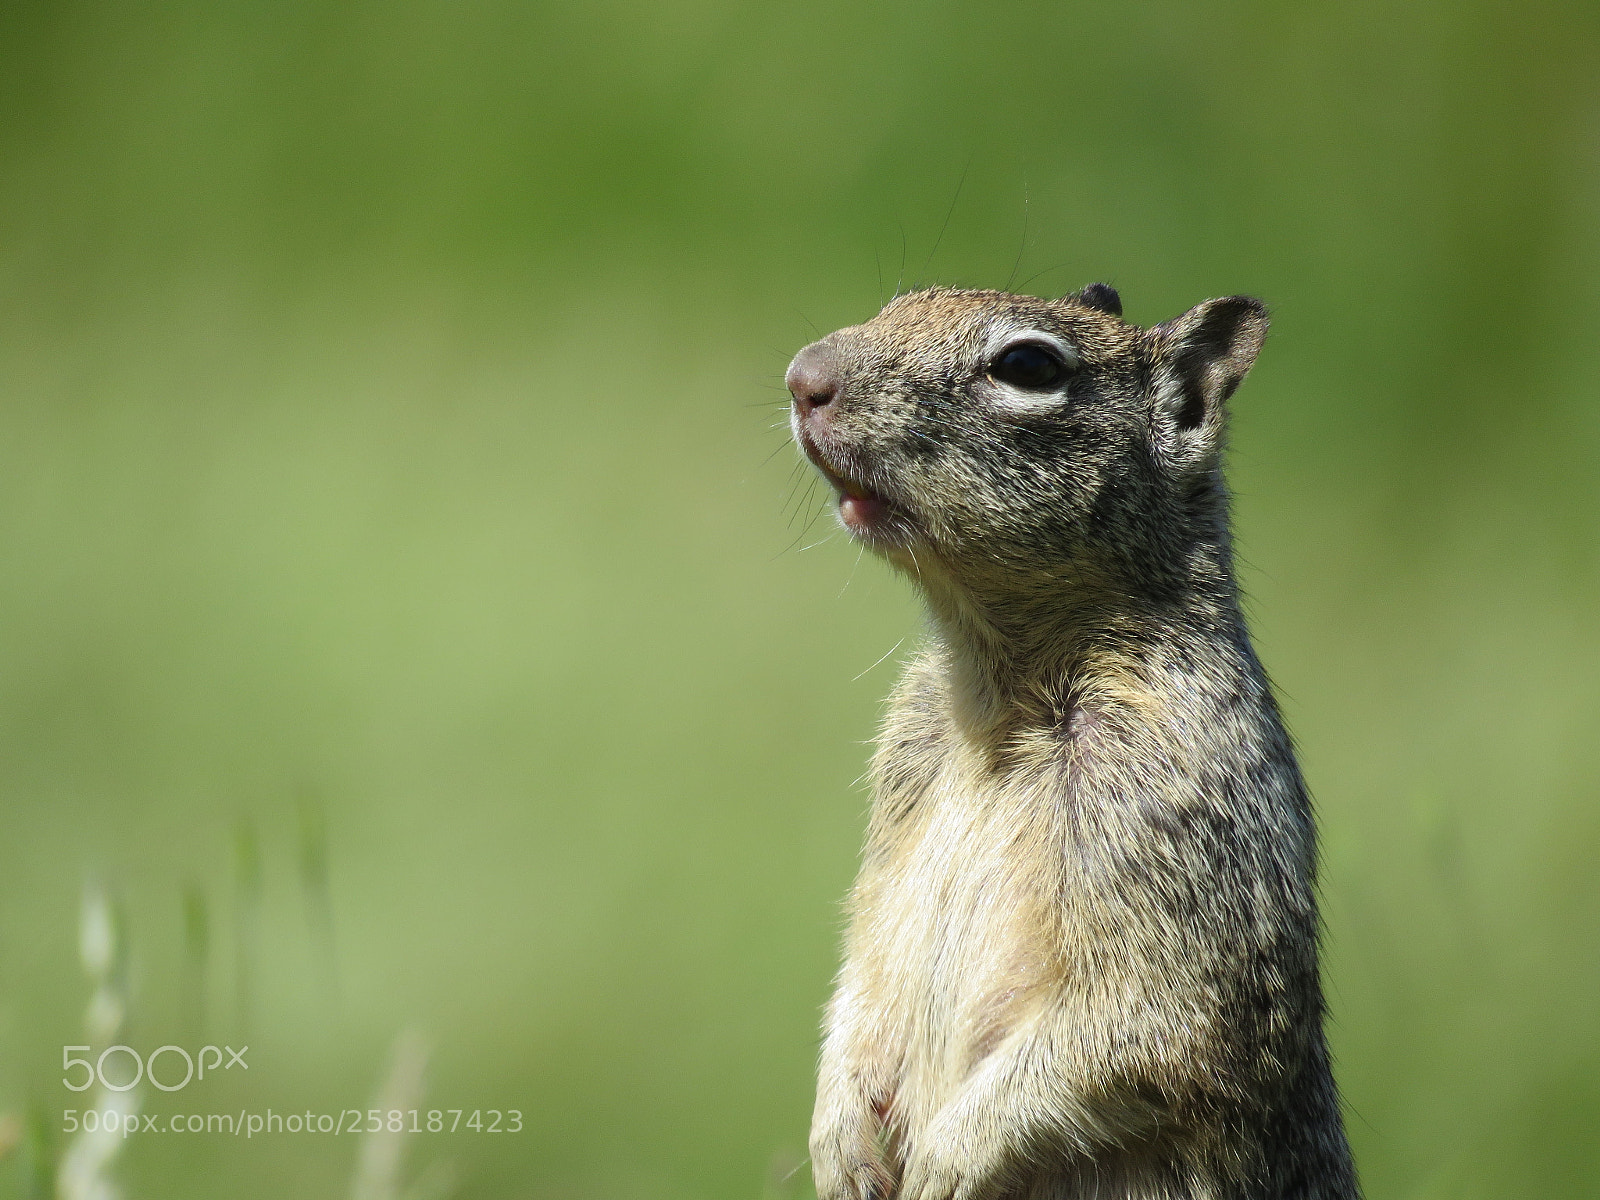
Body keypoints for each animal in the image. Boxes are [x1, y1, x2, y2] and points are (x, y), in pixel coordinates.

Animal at [785, 283, 1359, 1200]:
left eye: (1028, 365)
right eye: (900, 299)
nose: (804, 378)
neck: (997, 696)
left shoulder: (1178, 815)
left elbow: (1142, 1031)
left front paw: (943, 1165)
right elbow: (858, 990)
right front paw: (836, 1142)